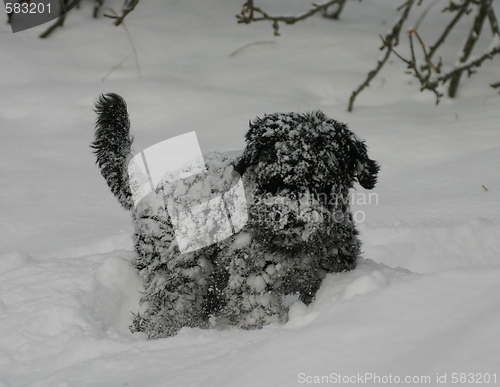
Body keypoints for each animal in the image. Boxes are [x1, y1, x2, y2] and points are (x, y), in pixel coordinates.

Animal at [93, 94, 378, 340]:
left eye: (323, 184)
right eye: (273, 180)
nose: (289, 216)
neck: (294, 248)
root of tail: (150, 190)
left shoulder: (328, 269)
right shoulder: (252, 280)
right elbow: (258, 311)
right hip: (182, 274)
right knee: (163, 312)